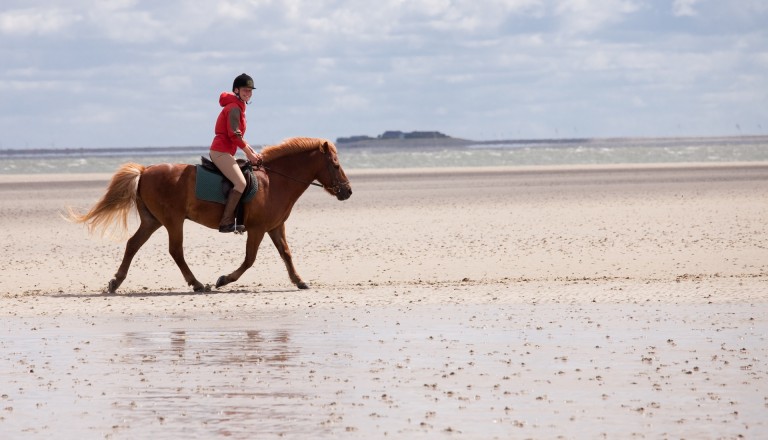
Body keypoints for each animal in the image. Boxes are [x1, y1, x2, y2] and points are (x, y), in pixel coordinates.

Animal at [69, 137, 352, 292]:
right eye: (335, 164)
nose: (347, 191)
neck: (275, 181)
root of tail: (145, 170)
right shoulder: (257, 229)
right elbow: (250, 259)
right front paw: (224, 280)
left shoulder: (275, 227)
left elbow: (286, 253)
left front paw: (300, 281)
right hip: (172, 220)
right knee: (176, 251)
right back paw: (196, 284)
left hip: (153, 220)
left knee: (132, 245)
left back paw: (116, 282)